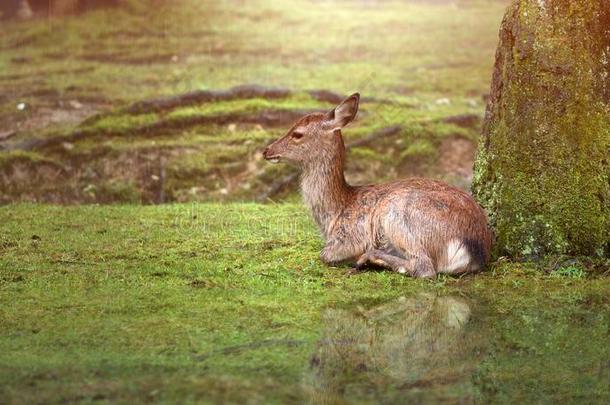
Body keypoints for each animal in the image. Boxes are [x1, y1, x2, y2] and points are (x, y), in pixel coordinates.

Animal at [260, 93, 490, 278]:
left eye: (297, 134)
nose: (266, 150)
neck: (334, 214)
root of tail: (473, 248)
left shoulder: (350, 237)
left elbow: (325, 254)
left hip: (398, 215)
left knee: (425, 268)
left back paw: (368, 259)